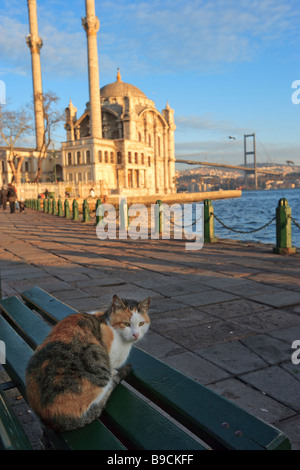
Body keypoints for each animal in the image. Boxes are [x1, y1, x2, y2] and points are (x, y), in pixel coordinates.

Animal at [25, 296, 151, 432]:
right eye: (126, 324)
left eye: (141, 323)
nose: (136, 335)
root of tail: (49, 417)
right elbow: (112, 366)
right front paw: (114, 371)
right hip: (95, 356)